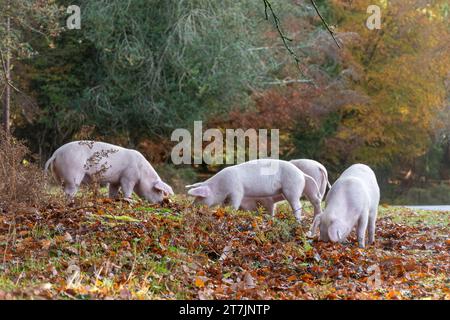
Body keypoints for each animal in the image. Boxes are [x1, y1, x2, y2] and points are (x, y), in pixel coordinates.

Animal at [44, 141, 173, 202]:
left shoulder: (115, 181)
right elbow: (127, 190)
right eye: (158, 191)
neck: (142, 172)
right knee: (69, 191)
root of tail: (56, 154)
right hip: (73, 174)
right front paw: (129, 200)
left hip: (59, 176)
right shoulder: (128, 177)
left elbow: (113, 191)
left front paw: (112, 199)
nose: (161, 202)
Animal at [185, 159, 314, 221]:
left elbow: (234, 205)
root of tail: (302, 174)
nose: (191, 206)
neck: (220, 186)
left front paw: (230, 213)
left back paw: (297, 220)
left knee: (297, 206)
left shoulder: (237, 191)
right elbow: (223, 205)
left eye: (200, 197)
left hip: (292, 189)